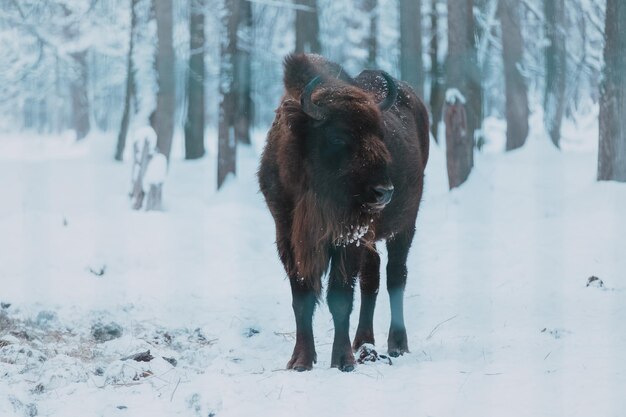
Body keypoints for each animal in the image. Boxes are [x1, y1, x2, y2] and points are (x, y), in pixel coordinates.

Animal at [256, 54, 426, 370]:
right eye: (338, 137)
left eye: (380, 134)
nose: (384, 191)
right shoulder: (289, 239)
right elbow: (302, 298)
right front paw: (300, 360)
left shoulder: (348, 238)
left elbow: (340, 297)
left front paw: (343, 360)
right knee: (372, 277)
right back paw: (364, 344)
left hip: (405, 226)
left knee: (396, 275)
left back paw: (396, 345)